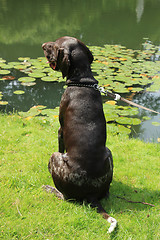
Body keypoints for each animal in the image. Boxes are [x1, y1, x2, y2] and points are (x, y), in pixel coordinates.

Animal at [42, 36, 117, 233]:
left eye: (53, 46)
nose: (43, 45)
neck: (82, 81)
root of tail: (91, 194)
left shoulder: (60, 131)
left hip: (55, 157)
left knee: (65, 197)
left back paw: (50, 188)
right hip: (109, 153)